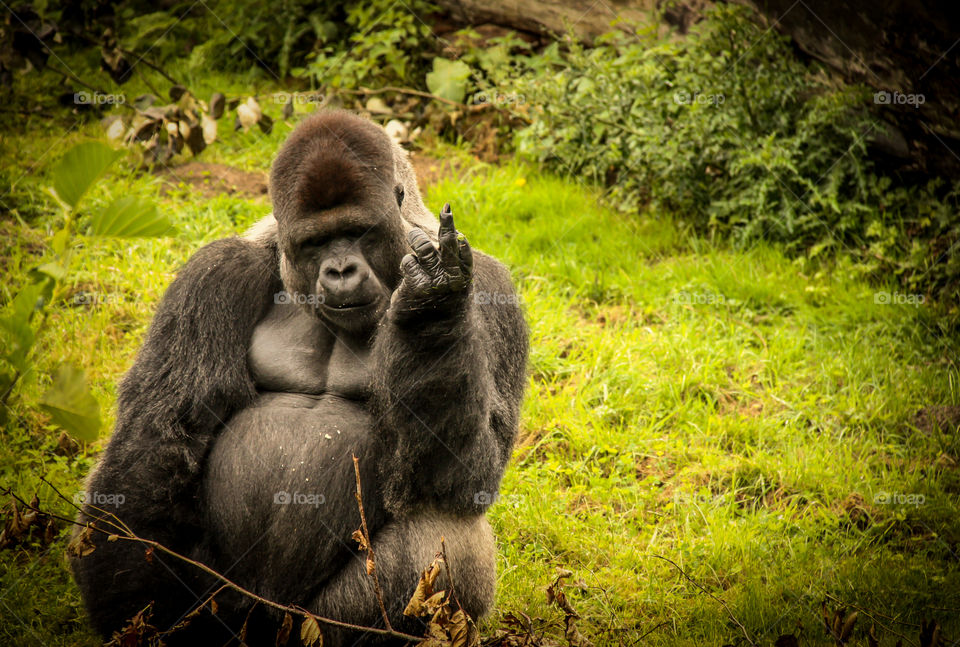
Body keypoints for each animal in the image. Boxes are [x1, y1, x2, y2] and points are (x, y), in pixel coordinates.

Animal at [71, 109, 528, 644]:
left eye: (358, 231)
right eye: (314, 243)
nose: (341, 270)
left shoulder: (491, 288)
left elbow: (463, 476)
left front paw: (432, 309)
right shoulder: (215, 274)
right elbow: (156, 441)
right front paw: (135, 606)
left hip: (311, 625)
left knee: (442, 535)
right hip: (227, 608)